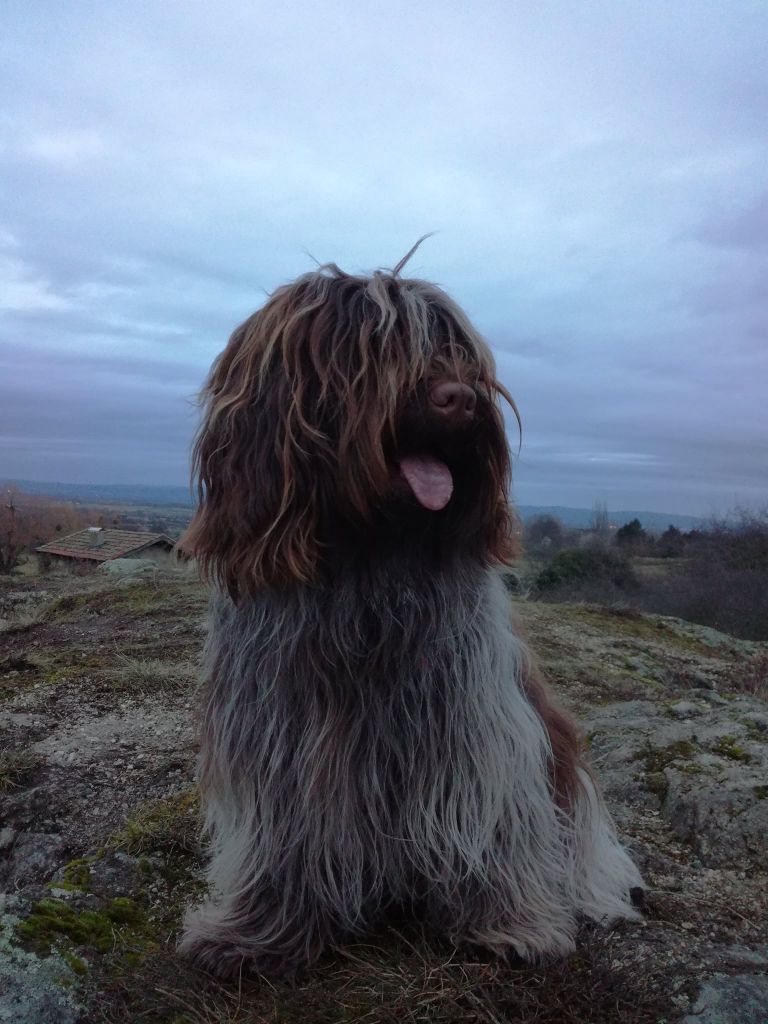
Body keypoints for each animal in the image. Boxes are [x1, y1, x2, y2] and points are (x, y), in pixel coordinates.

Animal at [178, 244, 643, 977]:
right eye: (376, 347)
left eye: (458, 351)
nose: (465, 400)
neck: (372, 554)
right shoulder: (281, 727)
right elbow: (287, 829)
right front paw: (259, 931)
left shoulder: (468, 718)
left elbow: (486, 817)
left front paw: (506, 922)